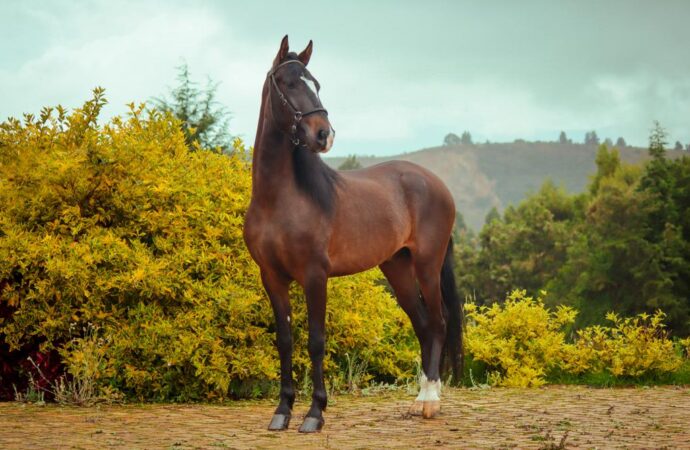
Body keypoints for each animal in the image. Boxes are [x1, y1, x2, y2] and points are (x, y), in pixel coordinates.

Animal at [243, 35, 463, 433]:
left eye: (316, 84)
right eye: (290, 83)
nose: (324, 134)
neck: (279, 199)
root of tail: (436, 183)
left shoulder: (315, 275)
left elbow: (316, 341)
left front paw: (315, 414)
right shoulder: (272, 277)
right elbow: (285, 341)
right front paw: (282, 412)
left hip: (427, 265)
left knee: (438, 323)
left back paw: (430, 402)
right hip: (397, 268)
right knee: (423, 325)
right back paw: (419, 399)